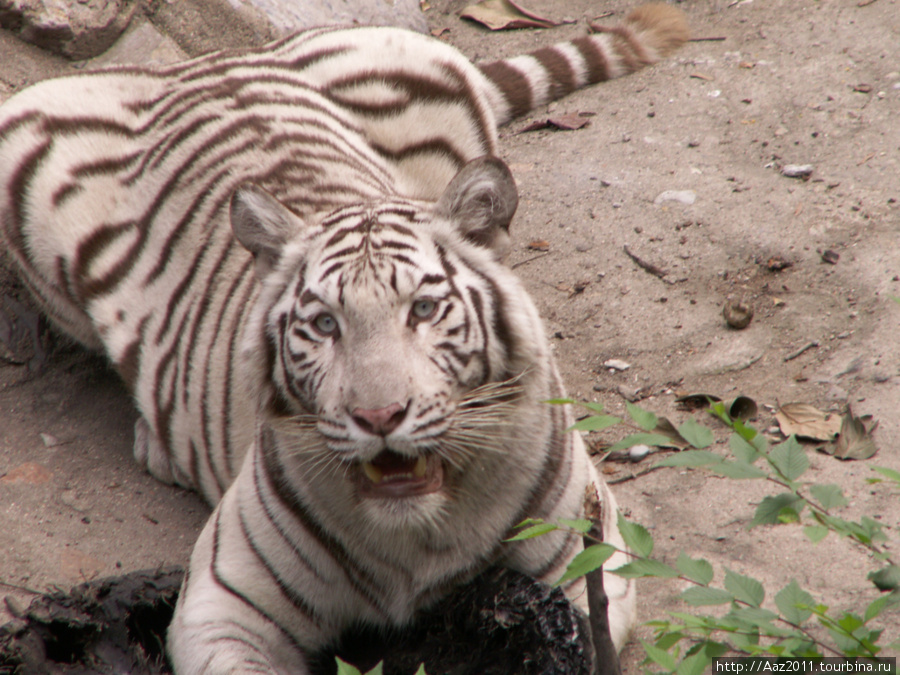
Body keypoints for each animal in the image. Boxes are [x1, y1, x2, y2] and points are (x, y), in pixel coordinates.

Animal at [1, 6, 688, 675]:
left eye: (424, 309)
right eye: (325, 324)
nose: (378, 417)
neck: (418, 539)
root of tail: (206, 60)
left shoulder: (587, 562)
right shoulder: (225, 600)